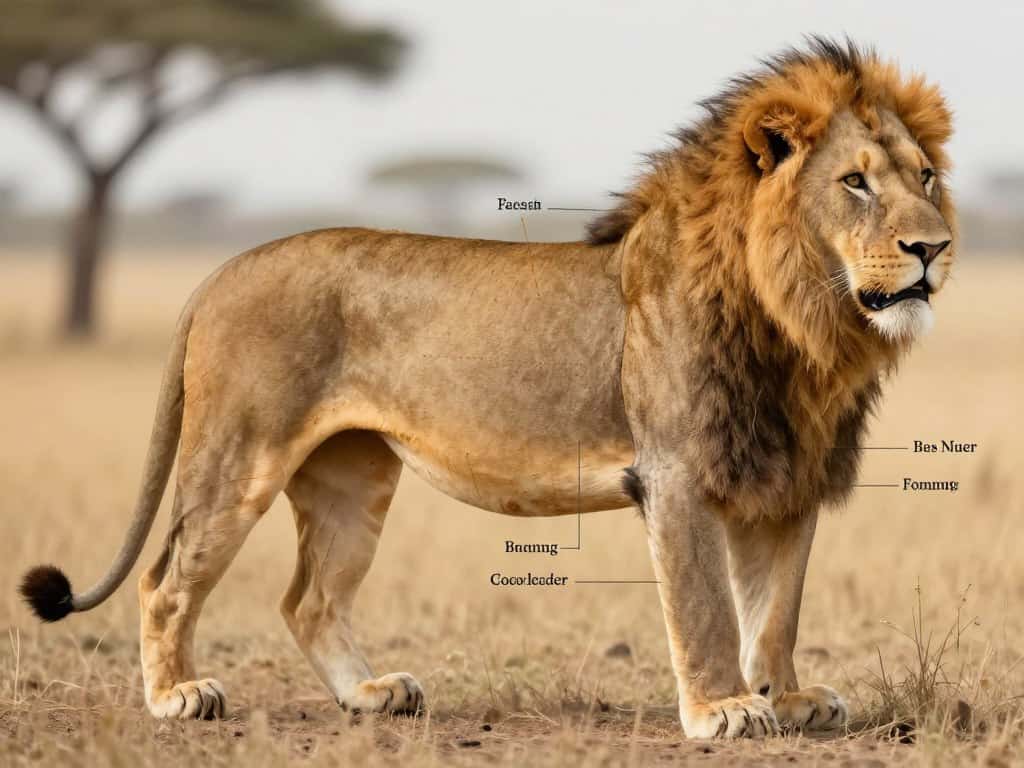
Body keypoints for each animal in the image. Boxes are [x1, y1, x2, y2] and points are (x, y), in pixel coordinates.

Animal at [20, 38, 955, 738]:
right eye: (855, 182)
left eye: (924, 178)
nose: (935, 249)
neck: (803, 323)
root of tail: (226, 266)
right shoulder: (677, 472)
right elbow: (707, 609)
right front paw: (723, 708)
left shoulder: (785, 476)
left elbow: (777, 607)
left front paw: (785, 698)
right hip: (238, 454)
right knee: (165, 579)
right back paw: (177, 697)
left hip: (352, 476)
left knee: (309, 599)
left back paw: (371, 696)